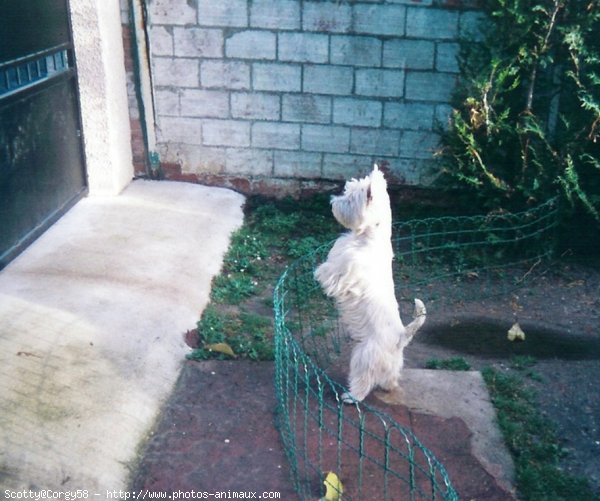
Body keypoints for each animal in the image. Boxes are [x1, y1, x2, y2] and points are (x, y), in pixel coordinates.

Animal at [314, 164, 426, 402]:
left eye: (350, 198)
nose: (332, 202)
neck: (368, 236)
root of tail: (401, 337)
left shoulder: (346, 271)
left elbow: (331, 272)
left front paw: (319, 271)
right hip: (388, 362)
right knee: (389, 377)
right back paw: (388, 386)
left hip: (364, 354)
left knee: (364, 380)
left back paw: (350, 396)